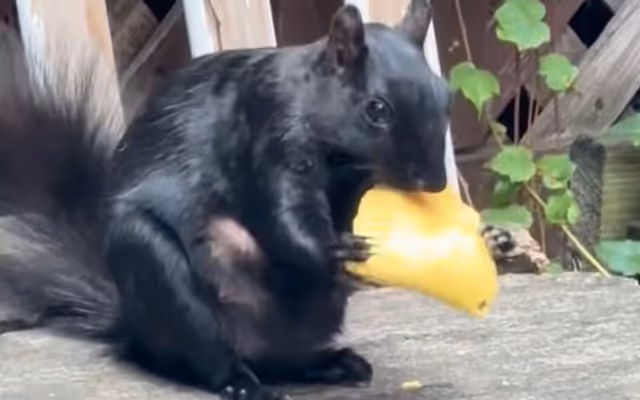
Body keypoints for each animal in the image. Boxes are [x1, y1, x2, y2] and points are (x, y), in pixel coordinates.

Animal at [0, 1, 453, 399]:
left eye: (446, 95)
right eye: (377, 109)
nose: (434, 182)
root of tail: (132, 325)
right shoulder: (267, 131)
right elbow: (282, 218)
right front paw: (335, 249)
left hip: (313, 317)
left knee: (280, 359)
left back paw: (327, 362)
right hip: (160, 274)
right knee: (210, 356)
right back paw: (241, 382)